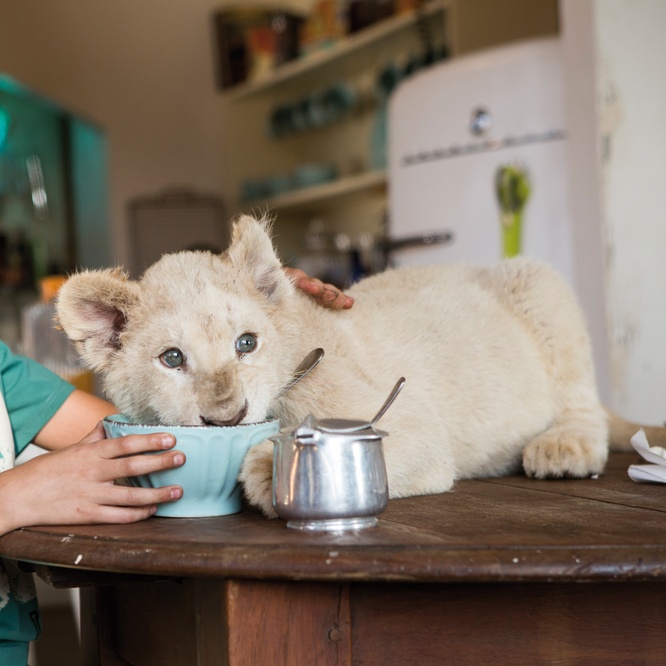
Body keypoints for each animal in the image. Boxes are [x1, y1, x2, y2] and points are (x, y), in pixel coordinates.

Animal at [55, 215, 662, 516]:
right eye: (172, 358)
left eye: (246, 343)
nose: (227, 418)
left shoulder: (417, 428)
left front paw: (264, 470)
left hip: (540, 282)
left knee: (583, 404)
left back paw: (563, 447)